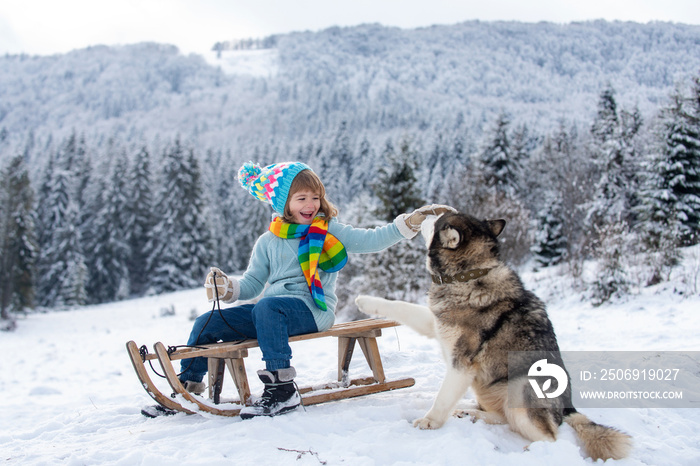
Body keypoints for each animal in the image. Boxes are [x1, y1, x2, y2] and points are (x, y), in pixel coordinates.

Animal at [358, 213, 632, 460]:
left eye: (439, 220)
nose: (424, 215)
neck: (468, 276)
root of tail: (567, 407)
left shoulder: (462, 364)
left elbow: (442, 397)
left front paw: (430, 421)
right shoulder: (436, 324)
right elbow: (401, 306)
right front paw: (367, 302)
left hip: (521, 386)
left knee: (551, 437)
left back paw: (532, 451)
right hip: (488, 387)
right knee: (503, 418)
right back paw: (471, 414)